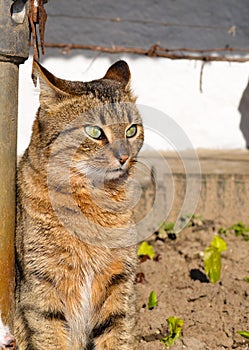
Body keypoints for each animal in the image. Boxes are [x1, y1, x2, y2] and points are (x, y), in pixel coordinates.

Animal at [14, 58, 144, 348]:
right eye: (95, 132)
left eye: (131, 130)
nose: (124, 157)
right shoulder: (43, 283)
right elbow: (51, 336)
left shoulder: (119, 280)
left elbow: (117, 332)